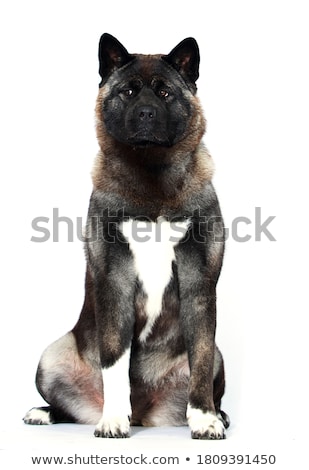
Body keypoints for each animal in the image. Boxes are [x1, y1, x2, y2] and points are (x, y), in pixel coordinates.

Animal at [24, 34, 229, 440]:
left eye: (165, 93)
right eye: (129, 91)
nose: (146, 113)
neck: (152, 176)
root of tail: (147, 415)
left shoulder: (200, 287)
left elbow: (199, 358)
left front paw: (205, 419)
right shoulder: (114, 282)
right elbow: (115, 360)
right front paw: (114, 419)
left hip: (219, 355)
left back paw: (218, 414)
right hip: (51, 354)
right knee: (66, 404)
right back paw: (46, 412)